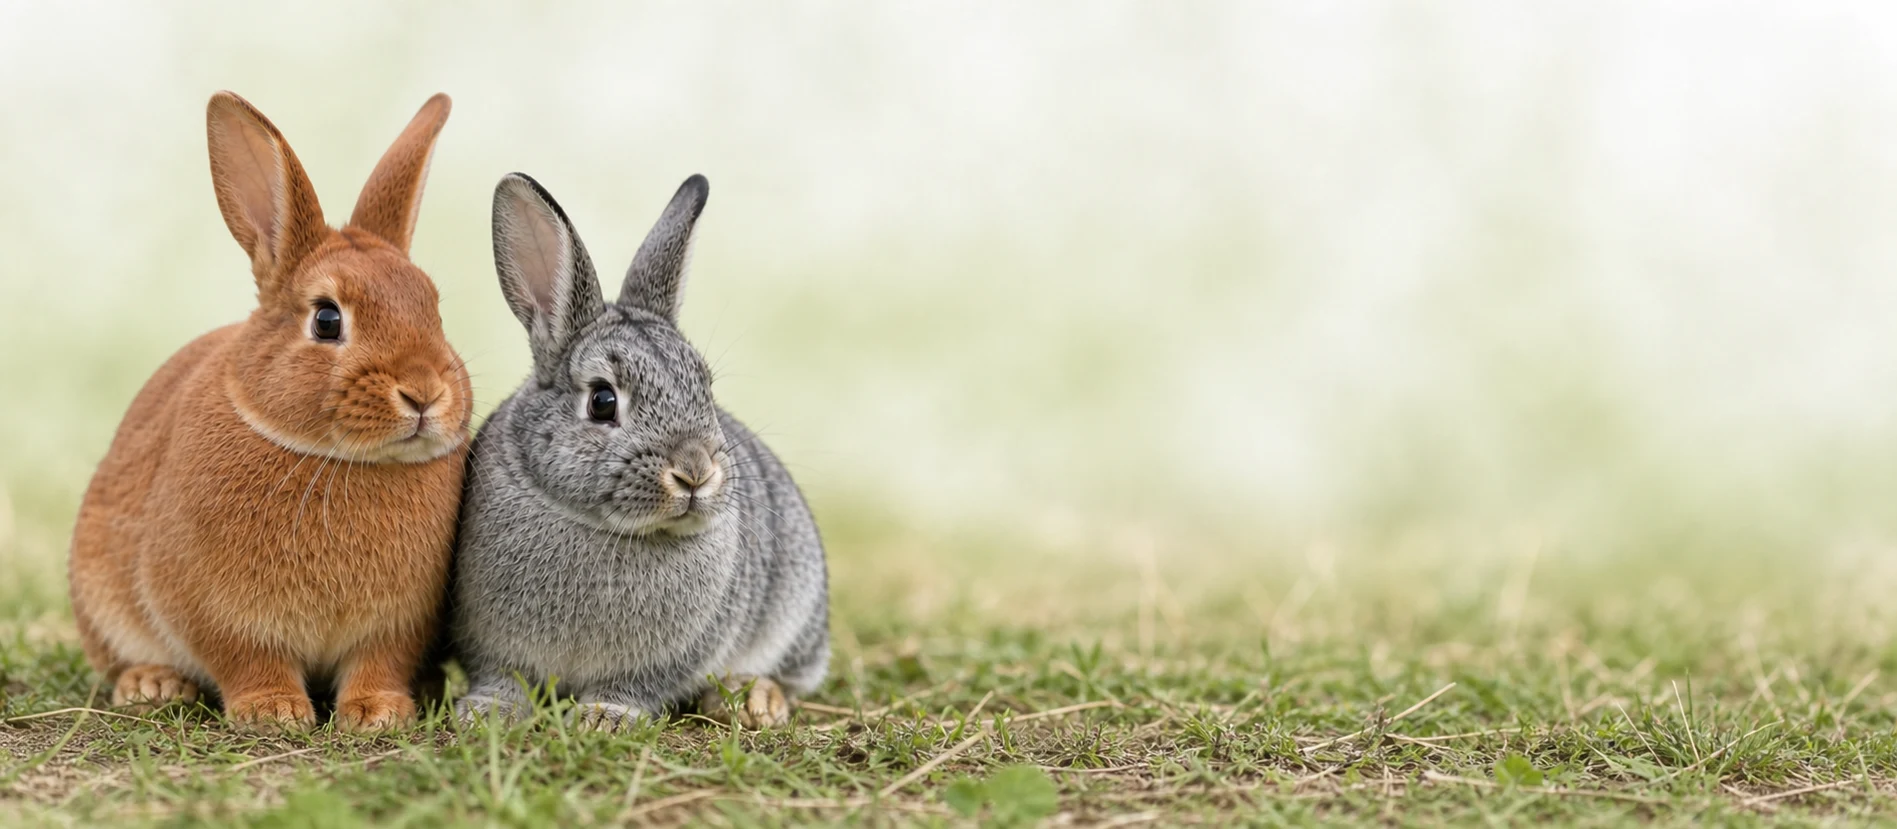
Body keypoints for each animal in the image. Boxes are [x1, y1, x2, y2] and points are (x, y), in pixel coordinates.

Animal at [66, 91, 471, 732]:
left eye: (432, 307)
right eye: (327, 319)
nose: (425, 392)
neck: (338, 459)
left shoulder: (398, 627)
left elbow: (378, 663)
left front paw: (378, 713)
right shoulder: (217, 612)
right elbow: (247, 659)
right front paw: (273, 711)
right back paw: (152, 685)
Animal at [451, 173, 829, 729]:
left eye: (705, 389)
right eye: (602, 401)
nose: (695, 472)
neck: (602, 528)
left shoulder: (674, 656)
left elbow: (634, 687)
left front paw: (603, 717)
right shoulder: (489, 643)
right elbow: (502, 678)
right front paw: (486, 712)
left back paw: (751, 700)